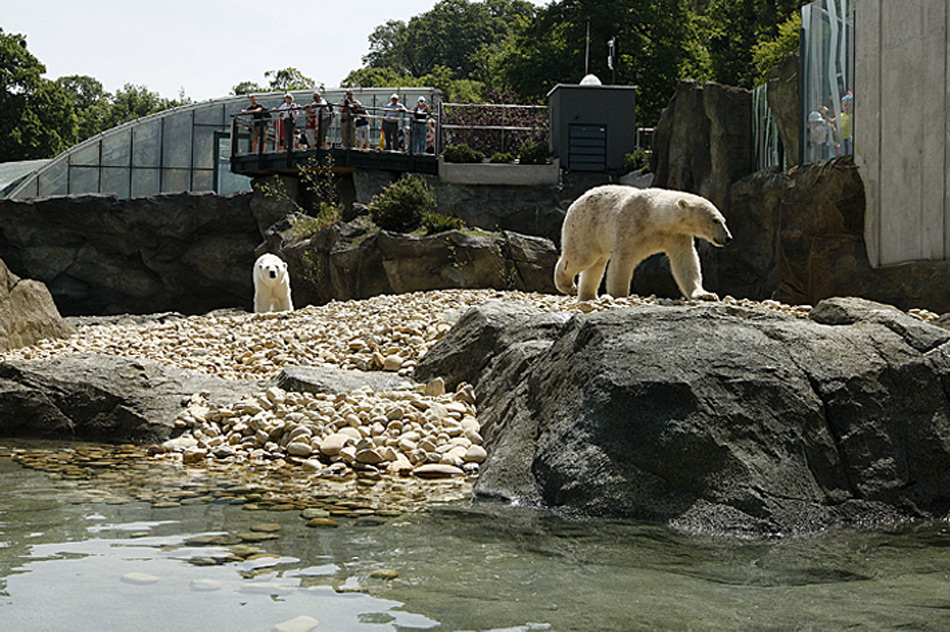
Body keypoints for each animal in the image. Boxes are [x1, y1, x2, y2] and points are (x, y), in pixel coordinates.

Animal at [556, 185, 732, 302]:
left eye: (723, 220)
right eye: (715, 220)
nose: (728, 238)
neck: (654, 215)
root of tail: (576, 201)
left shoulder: (676, 235)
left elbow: (685, 261)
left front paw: (706, 294)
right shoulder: (630, 224)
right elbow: (622, 260)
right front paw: (619, 295)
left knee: (596, 264)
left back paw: (588, 296)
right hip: (586, 226)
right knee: (581, 256)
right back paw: (568, 285)